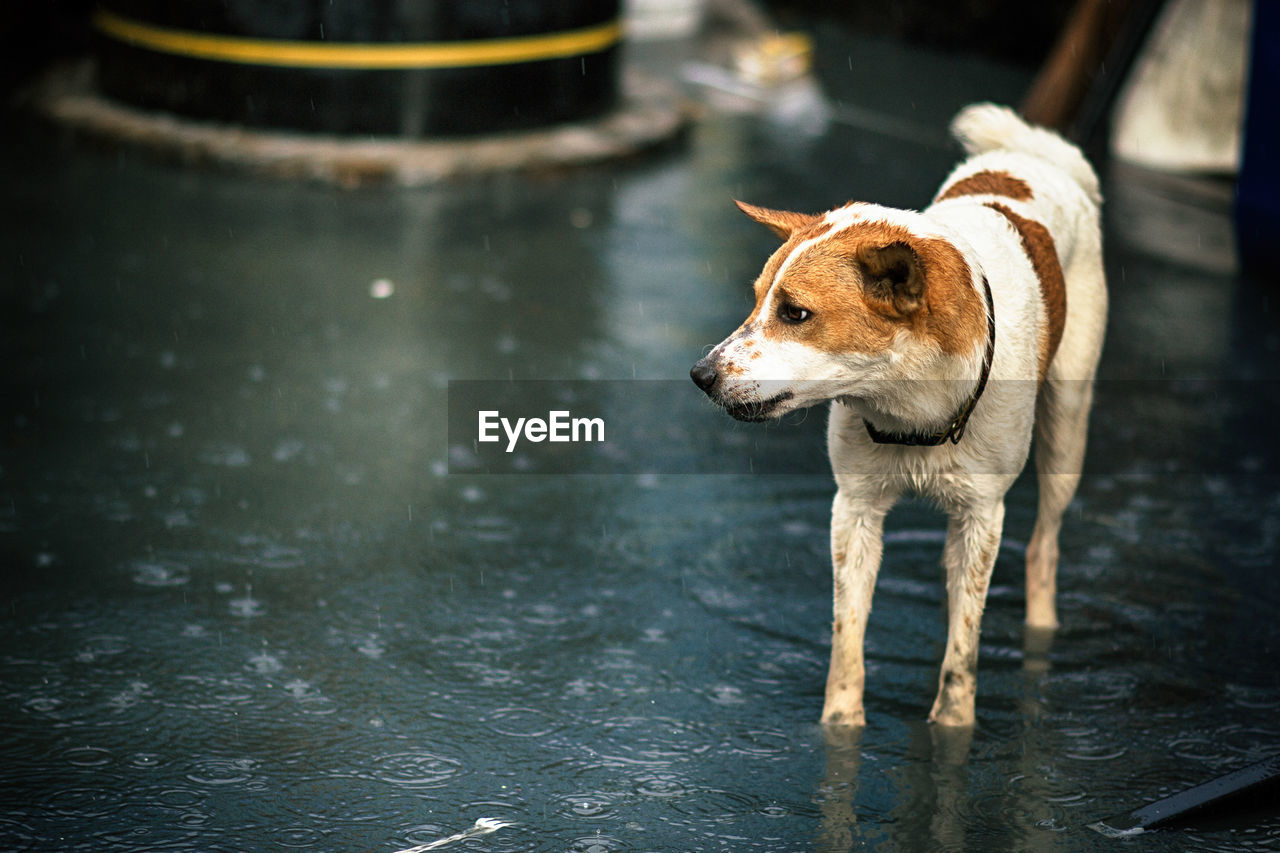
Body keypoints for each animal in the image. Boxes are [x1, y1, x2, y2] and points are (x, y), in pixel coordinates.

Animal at [696, 103, 1105, 722]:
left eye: (795, 313)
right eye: (757, 298)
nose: (701, 375)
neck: (911, 407)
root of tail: (1031, 153)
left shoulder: (983, 516)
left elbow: (962, 660)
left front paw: (954, 723)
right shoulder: (854, 509)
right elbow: (848, 643)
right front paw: (841, 724)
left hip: (1068, 428)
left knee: (1043, 547)